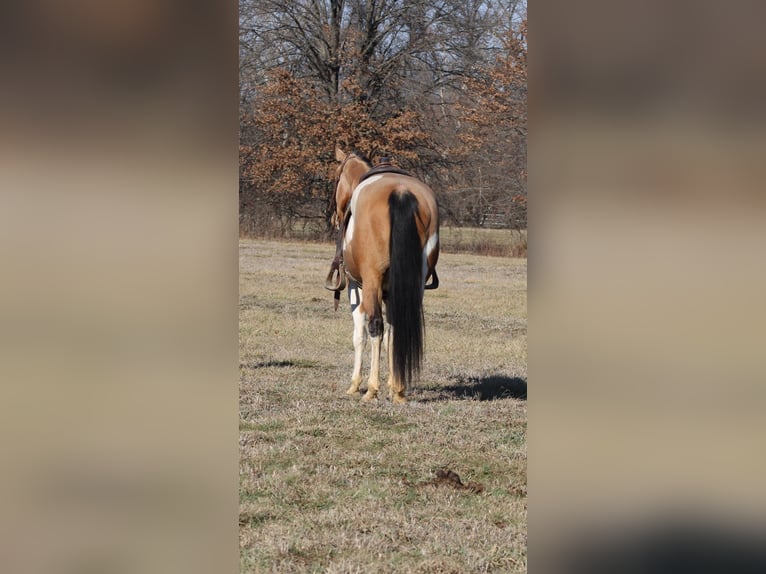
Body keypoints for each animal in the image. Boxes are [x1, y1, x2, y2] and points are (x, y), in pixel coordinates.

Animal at [325, 147, 439, 403]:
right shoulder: (391, 292)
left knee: (375, 326)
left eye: (336, 178)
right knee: (396, 328)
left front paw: (356, 385)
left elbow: (361, 334)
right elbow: (391, 336)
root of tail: (401, 192)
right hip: (413, 284)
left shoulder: (356, 286)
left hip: (370, 282)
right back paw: (399, 391)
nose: (334, 218)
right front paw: (392, 386)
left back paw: (371, 389)